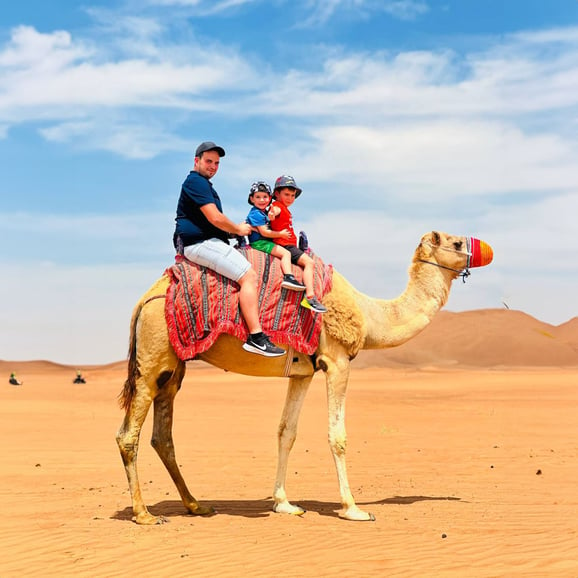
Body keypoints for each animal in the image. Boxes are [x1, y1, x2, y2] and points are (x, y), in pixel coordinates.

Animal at [116, 230, 490, 520]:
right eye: (457, 242)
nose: (485, 249)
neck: (368, 314)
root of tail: (142, 300)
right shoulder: (337, 360)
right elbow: (337, 436)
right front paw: (353, 508)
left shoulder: (302, 372)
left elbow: (286, 432)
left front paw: (284, 503)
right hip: (153, 357)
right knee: (128, 435)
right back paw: (143, 514)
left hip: (173, 368)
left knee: (162, 436)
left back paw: (196, 506)